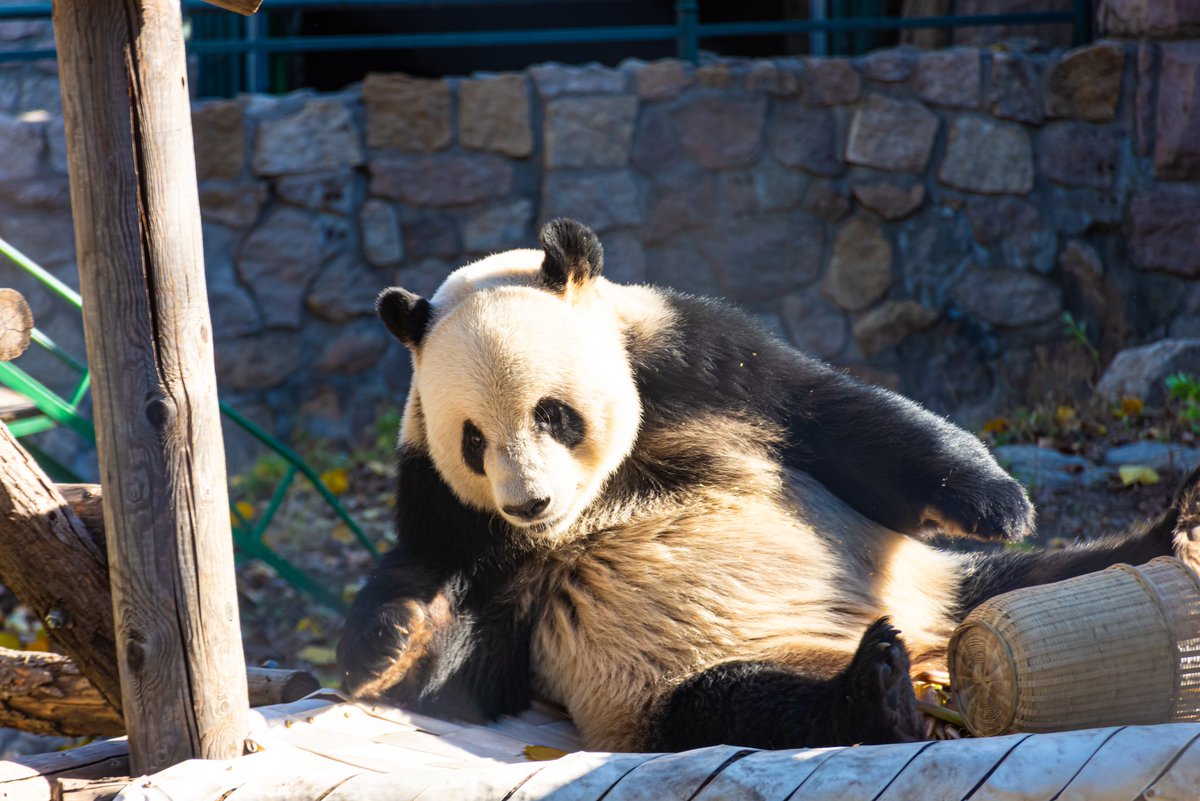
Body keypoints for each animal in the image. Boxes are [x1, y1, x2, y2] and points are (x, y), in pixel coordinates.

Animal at [338, 218, 1196, 751]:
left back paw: (1173, 524)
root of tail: (936, 657)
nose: (530, 503)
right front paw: (382, 646)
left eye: (554, 414)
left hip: (947, 585)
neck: (601, 494)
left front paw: (1002, 501)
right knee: (741, 703)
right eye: (473, 441)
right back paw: (874, 691)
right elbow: (454, 641)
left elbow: (843, 419)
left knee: (1055, 572)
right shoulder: (444, 502)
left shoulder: (693, 358)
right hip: (659, 685)